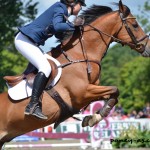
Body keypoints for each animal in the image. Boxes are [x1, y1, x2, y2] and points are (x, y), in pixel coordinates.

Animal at [0, 0, 150, 149]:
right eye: (135, 25)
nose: (147, 48)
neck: (79, 55)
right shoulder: (82, 93)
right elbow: (115, 89)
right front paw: (95, 118)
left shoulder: (91, 92)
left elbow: (113, 95)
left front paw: (93, 118)